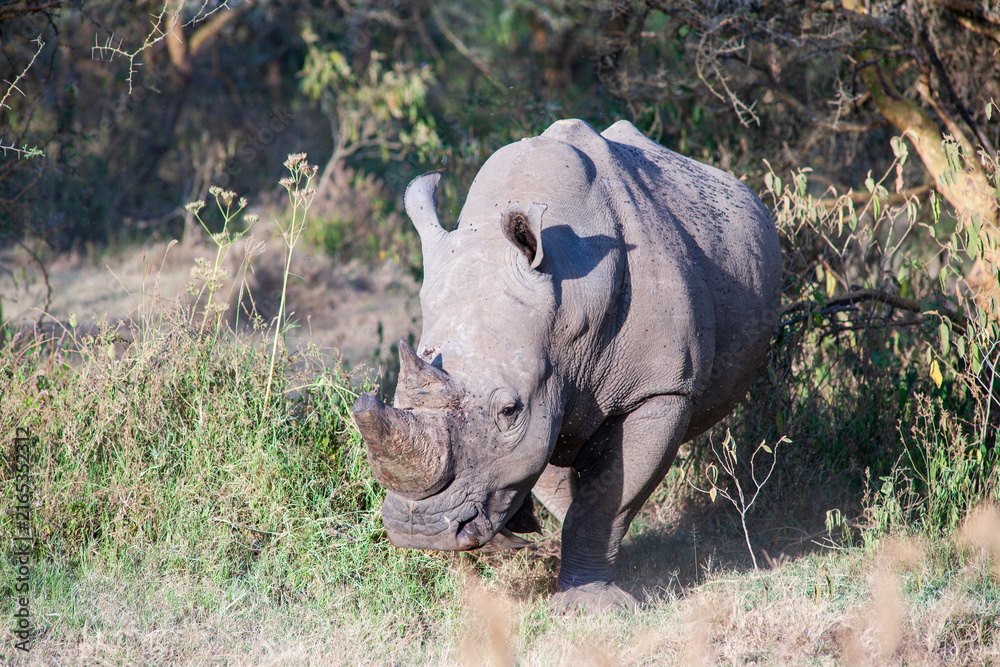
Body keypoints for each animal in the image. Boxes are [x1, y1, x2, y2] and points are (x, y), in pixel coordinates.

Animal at [352, 119, 781, 609]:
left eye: (509, 411)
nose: (419, 530)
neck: (568, 303)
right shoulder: (547, 392)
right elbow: (554, 484)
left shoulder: (663, 388)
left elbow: (605, 501)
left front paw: (590, 607)